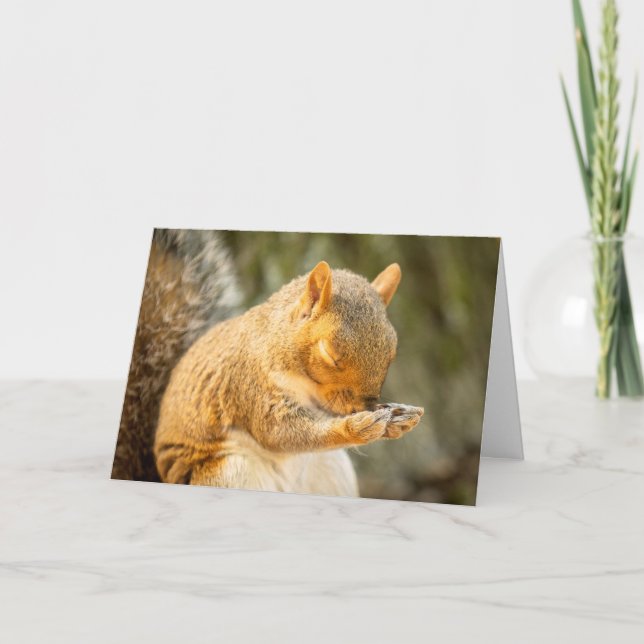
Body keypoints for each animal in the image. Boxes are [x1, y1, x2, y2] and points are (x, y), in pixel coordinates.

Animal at [153, 255, 424, 497]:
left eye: (392, 353)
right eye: (330, 354)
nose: (364, 407)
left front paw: (398, 417)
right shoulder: (250, 385)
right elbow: (277, 431)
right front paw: (355, 427)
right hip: (228, 471)